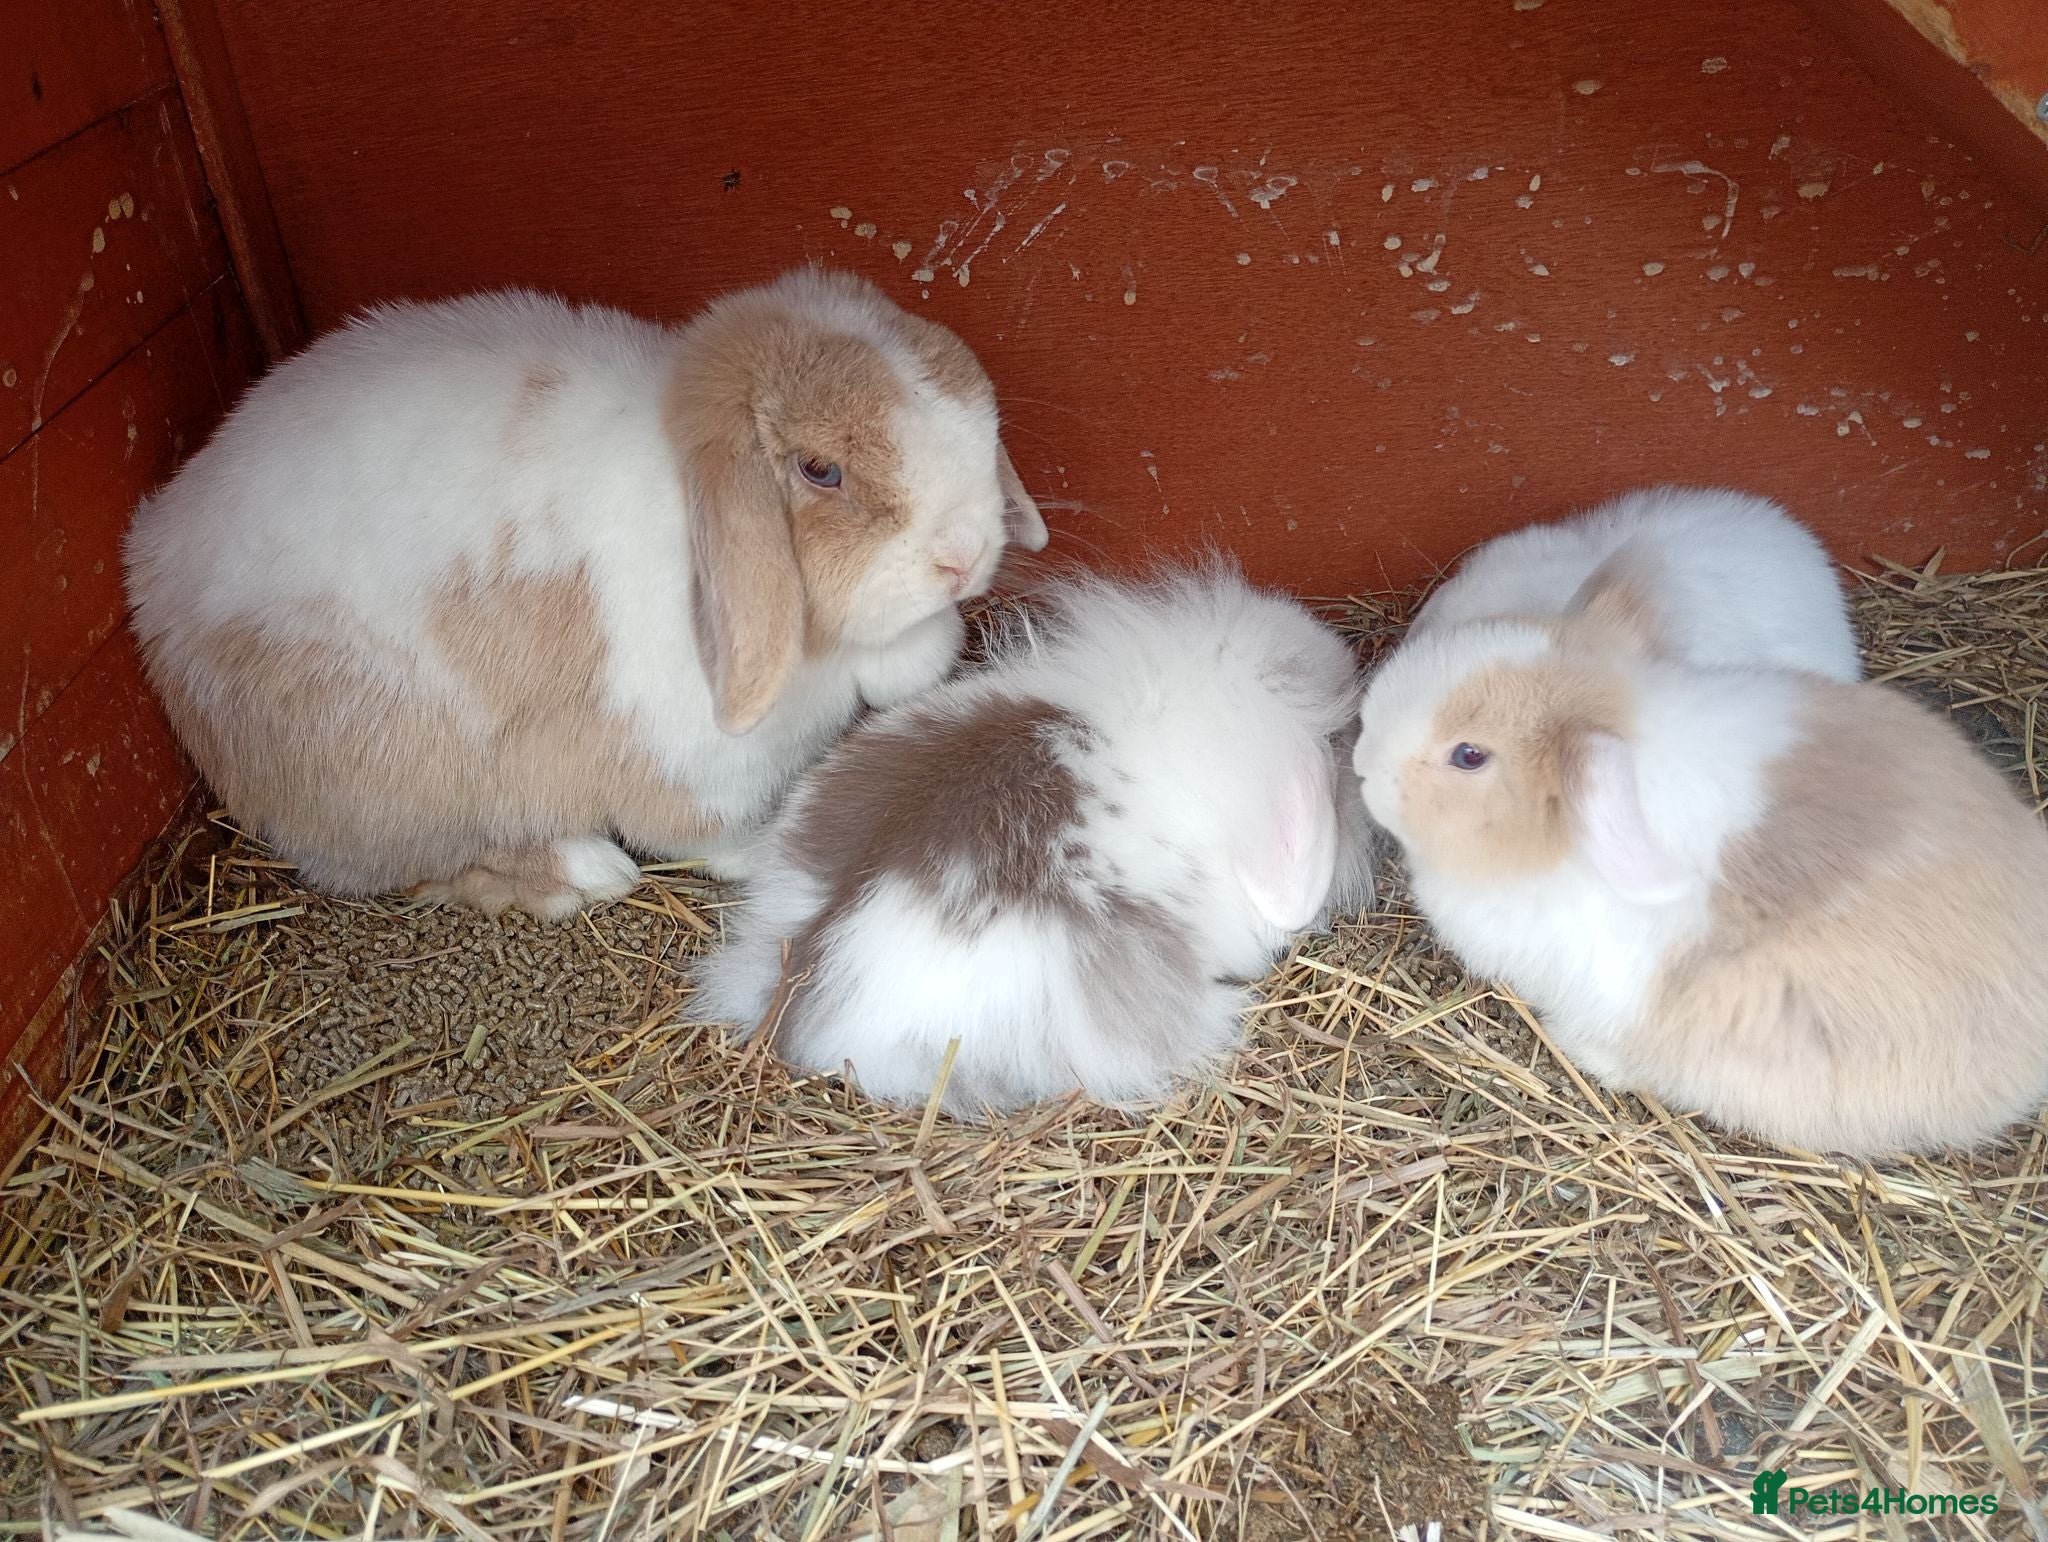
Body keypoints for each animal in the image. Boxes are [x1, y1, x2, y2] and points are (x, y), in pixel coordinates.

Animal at [124, 268, 1048, 920]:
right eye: (820, 470)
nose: (966, 554)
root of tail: (151, 572)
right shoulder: (685, 764)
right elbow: (715, 837)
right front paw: (768, 850)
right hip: (387, 775)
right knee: (417, 864)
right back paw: (584, 871)